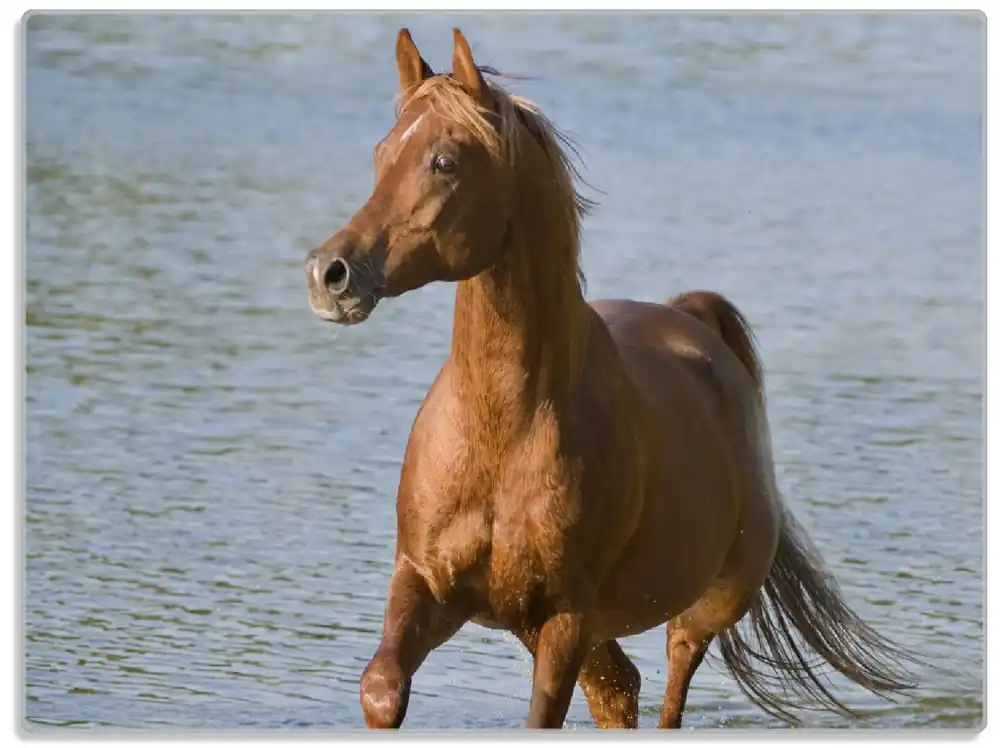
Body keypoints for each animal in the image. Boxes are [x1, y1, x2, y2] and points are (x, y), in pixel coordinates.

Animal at [304, 28, 918, 729]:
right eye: (382, 152)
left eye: (444, 162)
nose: (330, 272)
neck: (502, 431)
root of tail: (691, 321)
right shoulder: (426, 582)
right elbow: (382, 688)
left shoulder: (566, 619)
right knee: (621, 688)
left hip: (704, 605)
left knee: (671, 680)